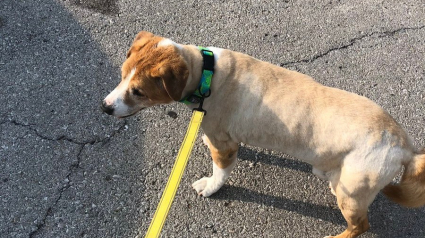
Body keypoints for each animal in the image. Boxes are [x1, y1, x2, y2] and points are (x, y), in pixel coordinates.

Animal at [102, 30, 424, 237]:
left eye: (139, 92)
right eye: (122, 74)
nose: (105, 107)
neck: (206, 72)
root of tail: (405, 146)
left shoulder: (224, 146)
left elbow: (220, 173)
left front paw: (211, 186)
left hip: (354, 195)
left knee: (360, 227)